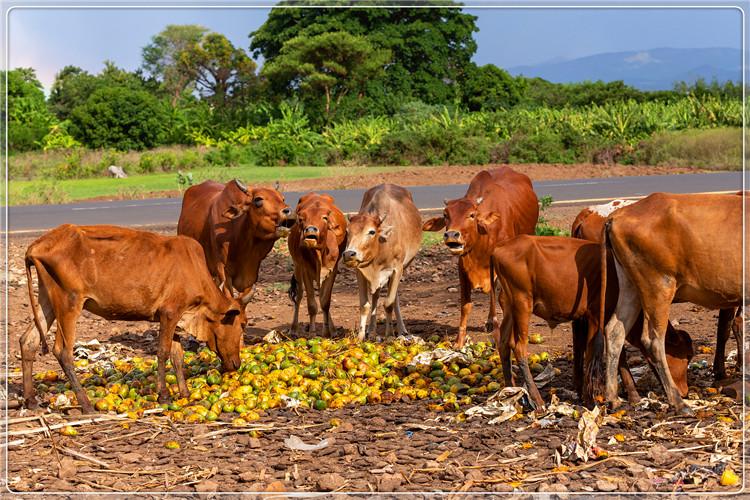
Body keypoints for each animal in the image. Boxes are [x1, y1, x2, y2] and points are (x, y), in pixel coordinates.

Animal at [21, 227, 244, 414]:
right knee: (63, 352)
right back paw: (86, 404)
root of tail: (36, 246)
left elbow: (177, 356)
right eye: (241, 325)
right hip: (69, 303)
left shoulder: (175, 317)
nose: (236, 364)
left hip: (48, 301)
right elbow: (163, 352)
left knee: (28, 341)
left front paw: (185, 393)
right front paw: (163, 396)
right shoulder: (170, 313)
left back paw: (31, 400)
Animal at [290, 191, 348, 336]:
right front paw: (312, 333)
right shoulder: (304, 268)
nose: (311, 230)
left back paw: (332, 329)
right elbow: (312, 305)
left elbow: (325, 301)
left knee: (321, 297)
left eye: (325, 218)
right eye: (302, 219)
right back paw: (294, 328)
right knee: (299, 295)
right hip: (297, 267)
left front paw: (327, 332)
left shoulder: (332, 270)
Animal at [346, 184, 424, 340]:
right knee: (376, 295)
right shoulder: (360, 272)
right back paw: (372, 330)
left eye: (371, 232)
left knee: (394, 299)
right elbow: (365, 305)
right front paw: (360, 336)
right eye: (347, 231)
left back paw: (401, 329)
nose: (349, 254)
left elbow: (389, 303)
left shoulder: (397, 269)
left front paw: (389, 335)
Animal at [490, 236, 696, 408]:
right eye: (686, 355)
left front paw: (631, 395)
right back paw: (537, 399)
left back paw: (511, 392)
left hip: (510, 308)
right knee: (518, 347)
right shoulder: (596, 316)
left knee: (504, 343)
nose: (684, 392)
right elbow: (594, 353)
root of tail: (498, 249)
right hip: (522, 303)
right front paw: (591, 399)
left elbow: (617, 354)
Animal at [604, 193, 744, 412]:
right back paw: (677, 400)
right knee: (653, 341)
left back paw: (613, 398)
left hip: (630, 286)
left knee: (614, 331)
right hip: (659, 285)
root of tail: (615, 217)